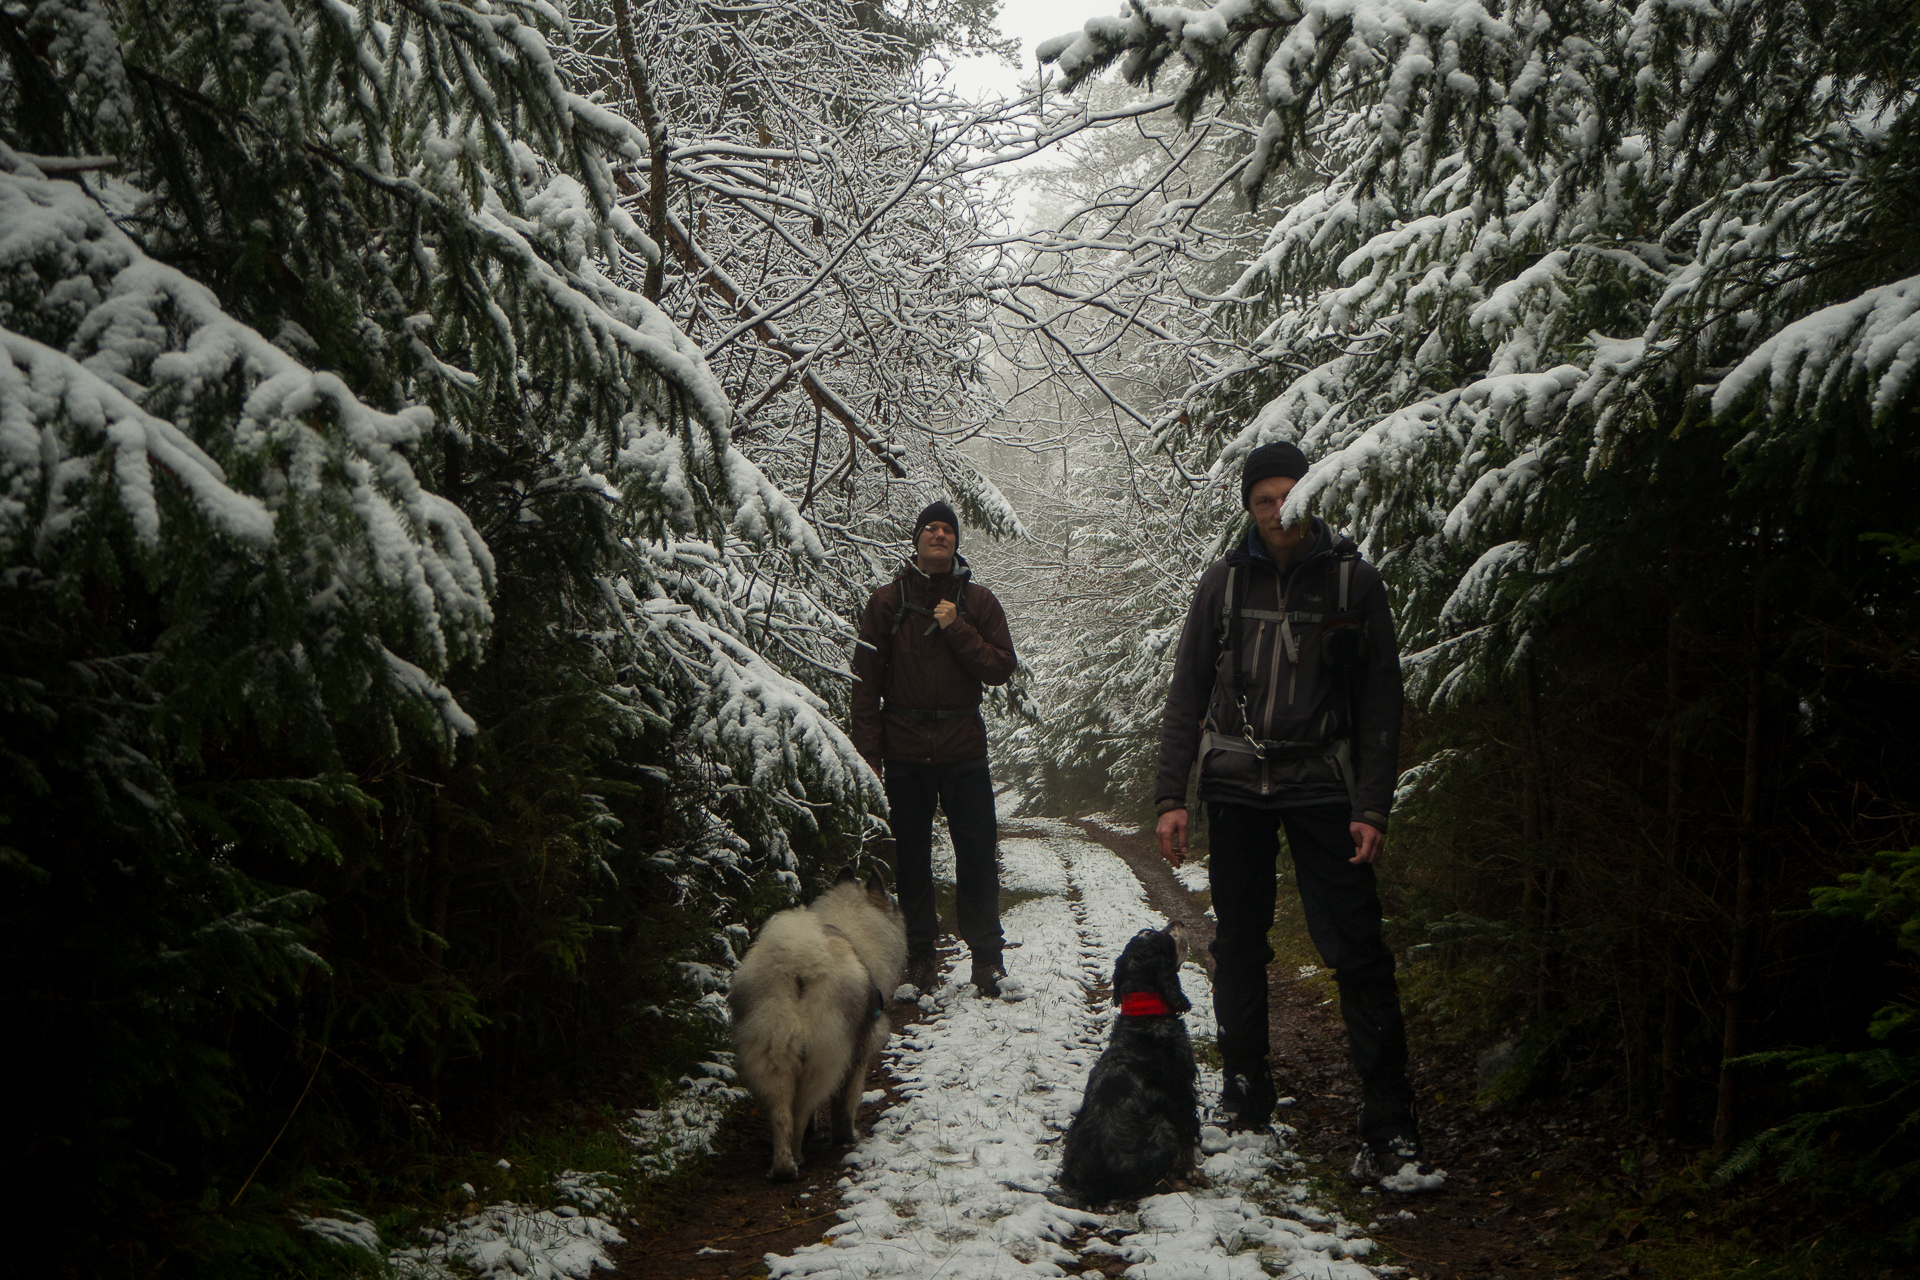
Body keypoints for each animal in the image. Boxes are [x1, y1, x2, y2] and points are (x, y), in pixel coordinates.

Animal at [725, 871, 906, 1182]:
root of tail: (798, 962)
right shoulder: (858, 1055)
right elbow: (846, 1103)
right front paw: (846, 1137)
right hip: (824, 1059)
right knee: (801, 1109)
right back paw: (797, 1157)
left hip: (771, 1053)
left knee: (782, 1113)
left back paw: (783, 1165)